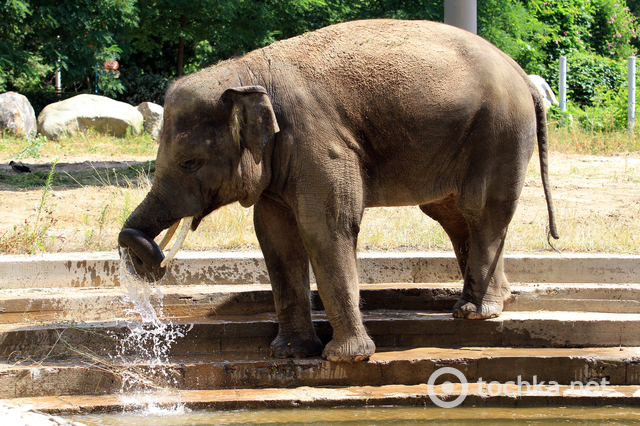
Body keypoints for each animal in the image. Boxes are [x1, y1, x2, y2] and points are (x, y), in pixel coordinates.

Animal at [117, 18, 556, 362]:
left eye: (190, 162)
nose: (134, 246)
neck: (246, 72)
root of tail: (522, 74)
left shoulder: (317, 141)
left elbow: (325, 228)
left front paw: (346, 358)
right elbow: (276, 237)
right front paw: (290, 353)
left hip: (499, 132)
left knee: (480, 209)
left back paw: (474, 313)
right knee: (452, 214)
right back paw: (492, 303)